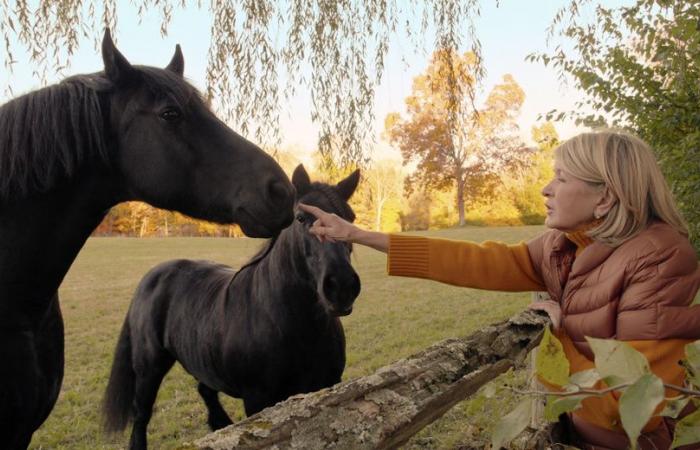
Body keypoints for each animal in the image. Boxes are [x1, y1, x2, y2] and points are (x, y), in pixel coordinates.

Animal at [102, 166, 360, 450]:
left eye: (350, 218)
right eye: (301, 218)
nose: (341, 285)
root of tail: (151, 276)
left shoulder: (328, 386)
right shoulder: (259, 401)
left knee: (205, 390)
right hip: (149, 367)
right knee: (142, 414)